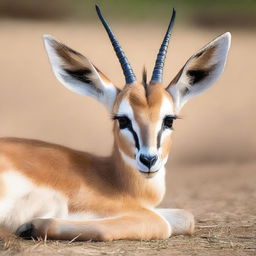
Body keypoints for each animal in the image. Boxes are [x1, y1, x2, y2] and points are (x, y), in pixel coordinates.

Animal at [0, 6, 231, 241]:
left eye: (169, 119)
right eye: (122, 119)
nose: (148, 160)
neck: (115, 179)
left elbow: (184, 216)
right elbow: (161, 223)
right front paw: (31, 226)